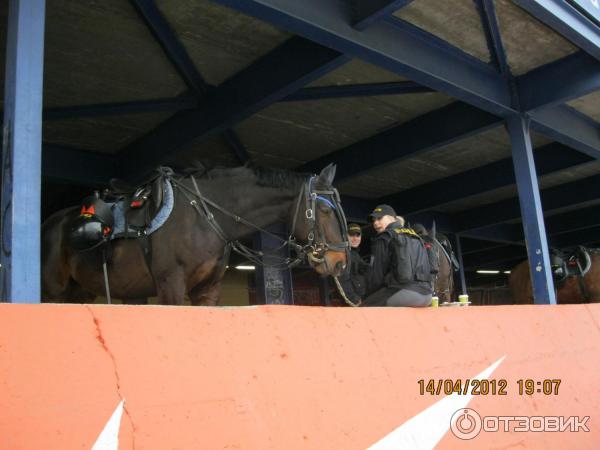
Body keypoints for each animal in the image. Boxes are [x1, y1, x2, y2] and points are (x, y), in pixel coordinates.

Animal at [41, 165, 346, 306]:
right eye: (324, 209)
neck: (206, 217)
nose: (340, 261)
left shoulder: (207, 290)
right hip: (54, 292)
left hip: (80, 292)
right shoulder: (171, 286)